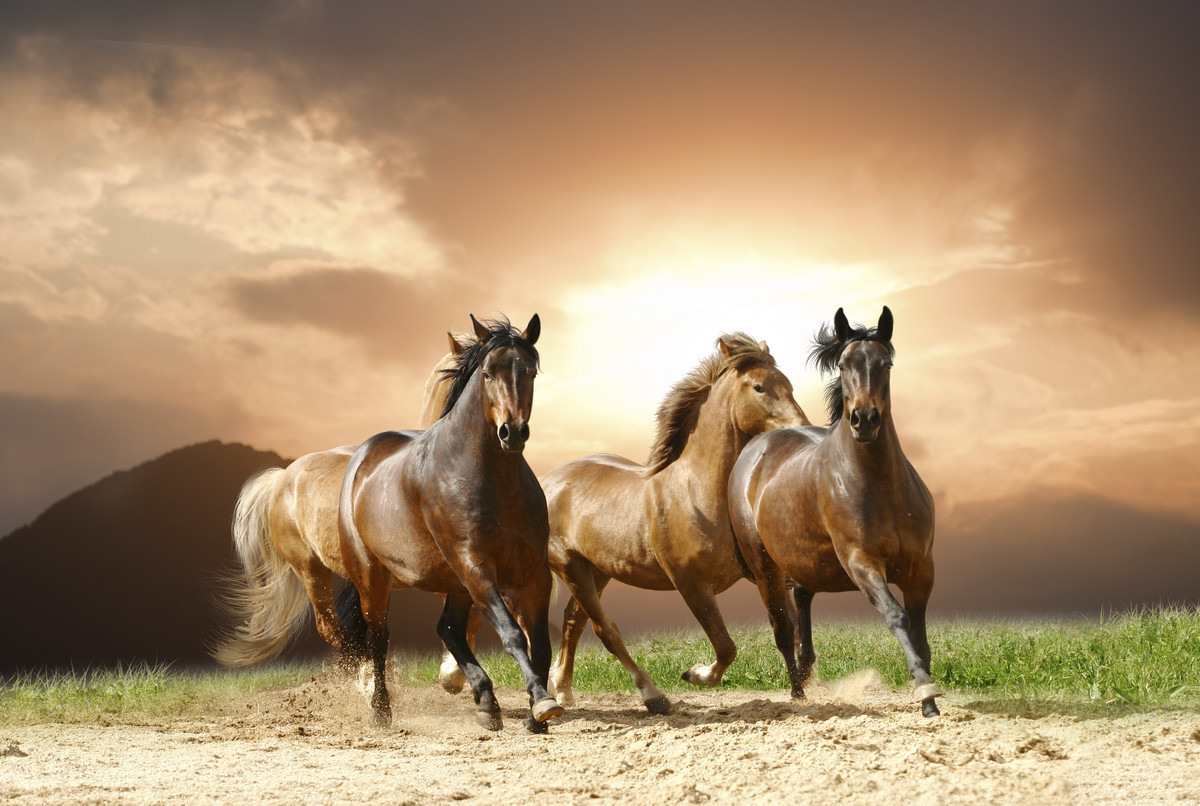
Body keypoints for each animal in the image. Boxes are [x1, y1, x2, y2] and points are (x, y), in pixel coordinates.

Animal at [339, 314, 563, 732]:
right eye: (488, 373)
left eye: (530, 372)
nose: (512, 432)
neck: (491, 481)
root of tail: (361, 458)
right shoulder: (476, 565)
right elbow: (512, 634)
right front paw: (542, 702)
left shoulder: (534, 573)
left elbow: (539, 643)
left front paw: (536, 714)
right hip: (374, 578)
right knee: (379, 638)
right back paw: (381, 710)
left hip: (455, 583)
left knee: (449, 629)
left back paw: (486, 702)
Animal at [543, 333, 809, 713]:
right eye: (759, 387)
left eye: (788, 384)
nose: (801, 429)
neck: (696, 492)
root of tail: (547, 480)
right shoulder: (690, 584)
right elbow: (726, 646)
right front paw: (695, 674)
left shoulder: (765, 573)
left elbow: (785, 631)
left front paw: (801, 692)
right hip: (571, 568)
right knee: (605, 630)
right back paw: (653, 696)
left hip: (597, 571)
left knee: (572, 623)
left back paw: (563, 690)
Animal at [727, 306, 942, 717]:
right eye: (843, 365)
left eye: (886, 363)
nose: (864, 419)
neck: (880, 487)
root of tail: (756, 445)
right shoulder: (861, 562)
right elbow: (897, 616)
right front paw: (925, 691)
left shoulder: (921, 568)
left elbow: (921, 632)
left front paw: (929, 697)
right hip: (765, 568)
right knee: (783, 629)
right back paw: (798, 694)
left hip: (805, 561)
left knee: (801, 603)